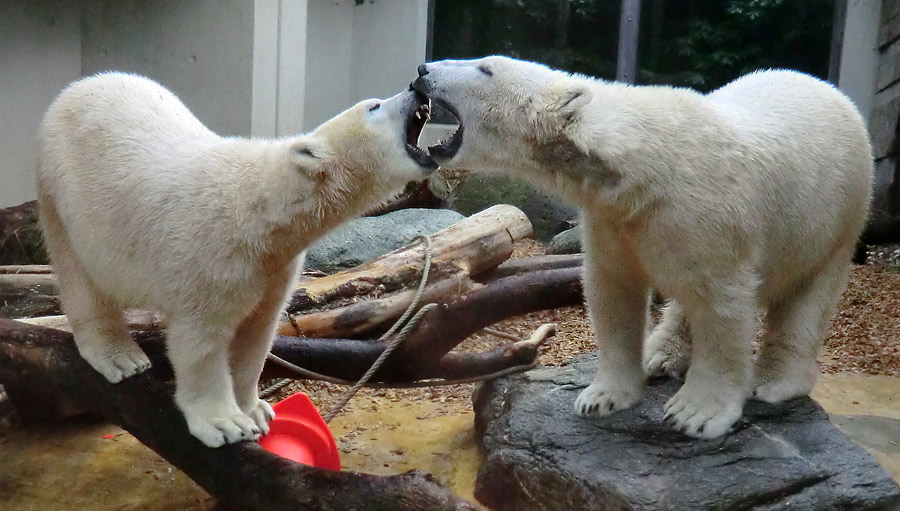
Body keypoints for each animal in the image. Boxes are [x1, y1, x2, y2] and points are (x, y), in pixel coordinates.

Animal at [37, 73, 438, 448]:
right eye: (374, 106)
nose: (416, 87)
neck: (263, 206)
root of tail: (78, 87)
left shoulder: (274, 265)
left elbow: (257, 332)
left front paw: (256, 410)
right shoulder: (210, 253)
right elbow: (201, 338)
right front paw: (225, 424)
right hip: (63, 193)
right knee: (80, 277)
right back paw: (120, 356)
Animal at [414, 57, 872, 440]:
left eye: (485, 68)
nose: (422, 70)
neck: (643, 167)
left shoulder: (710, 214)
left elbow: (722, 305)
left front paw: (695, 414)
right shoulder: (612, 218)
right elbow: (613, 290)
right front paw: (601, 397)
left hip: (836, 213)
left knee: (807, 297)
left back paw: (773, 381)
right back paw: (660, 355)